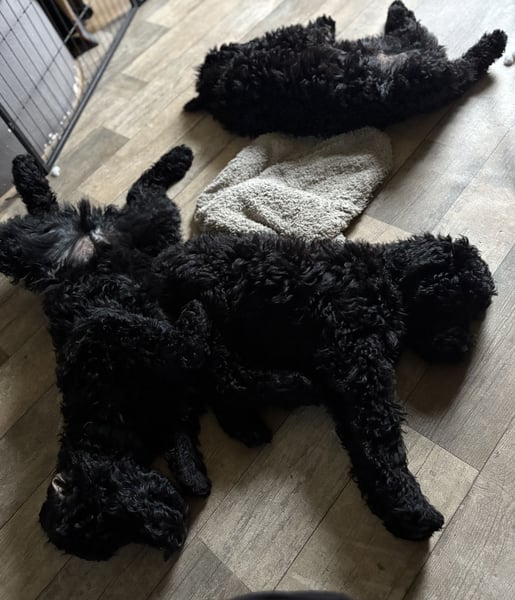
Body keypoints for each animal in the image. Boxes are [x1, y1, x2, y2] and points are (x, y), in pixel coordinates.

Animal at [184, 1, 507, 136]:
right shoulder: (289, 38)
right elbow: (308, 31)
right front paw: (325, 21)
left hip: (406, 45)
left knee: (407, 24)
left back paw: (396, 6)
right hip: (426, 72)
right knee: (465, 69)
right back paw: (495, 40)